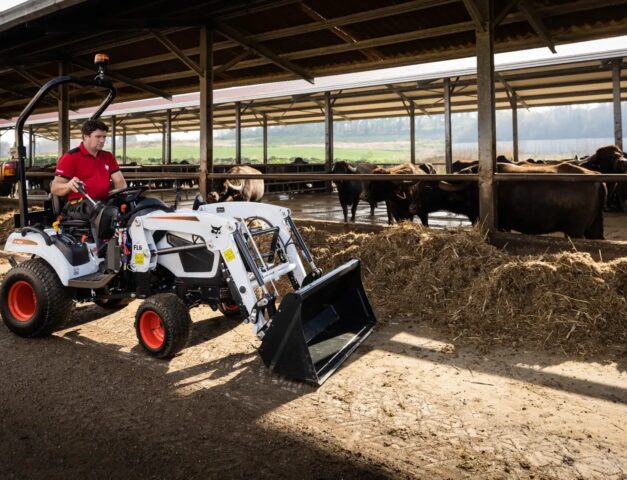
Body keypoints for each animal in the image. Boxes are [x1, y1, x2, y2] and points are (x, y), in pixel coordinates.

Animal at [412, 162, 608, 239]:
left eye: (427, 189)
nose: (412, 208)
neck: (470, 188)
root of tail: (596, 178)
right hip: (594, 228)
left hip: (574, 231)